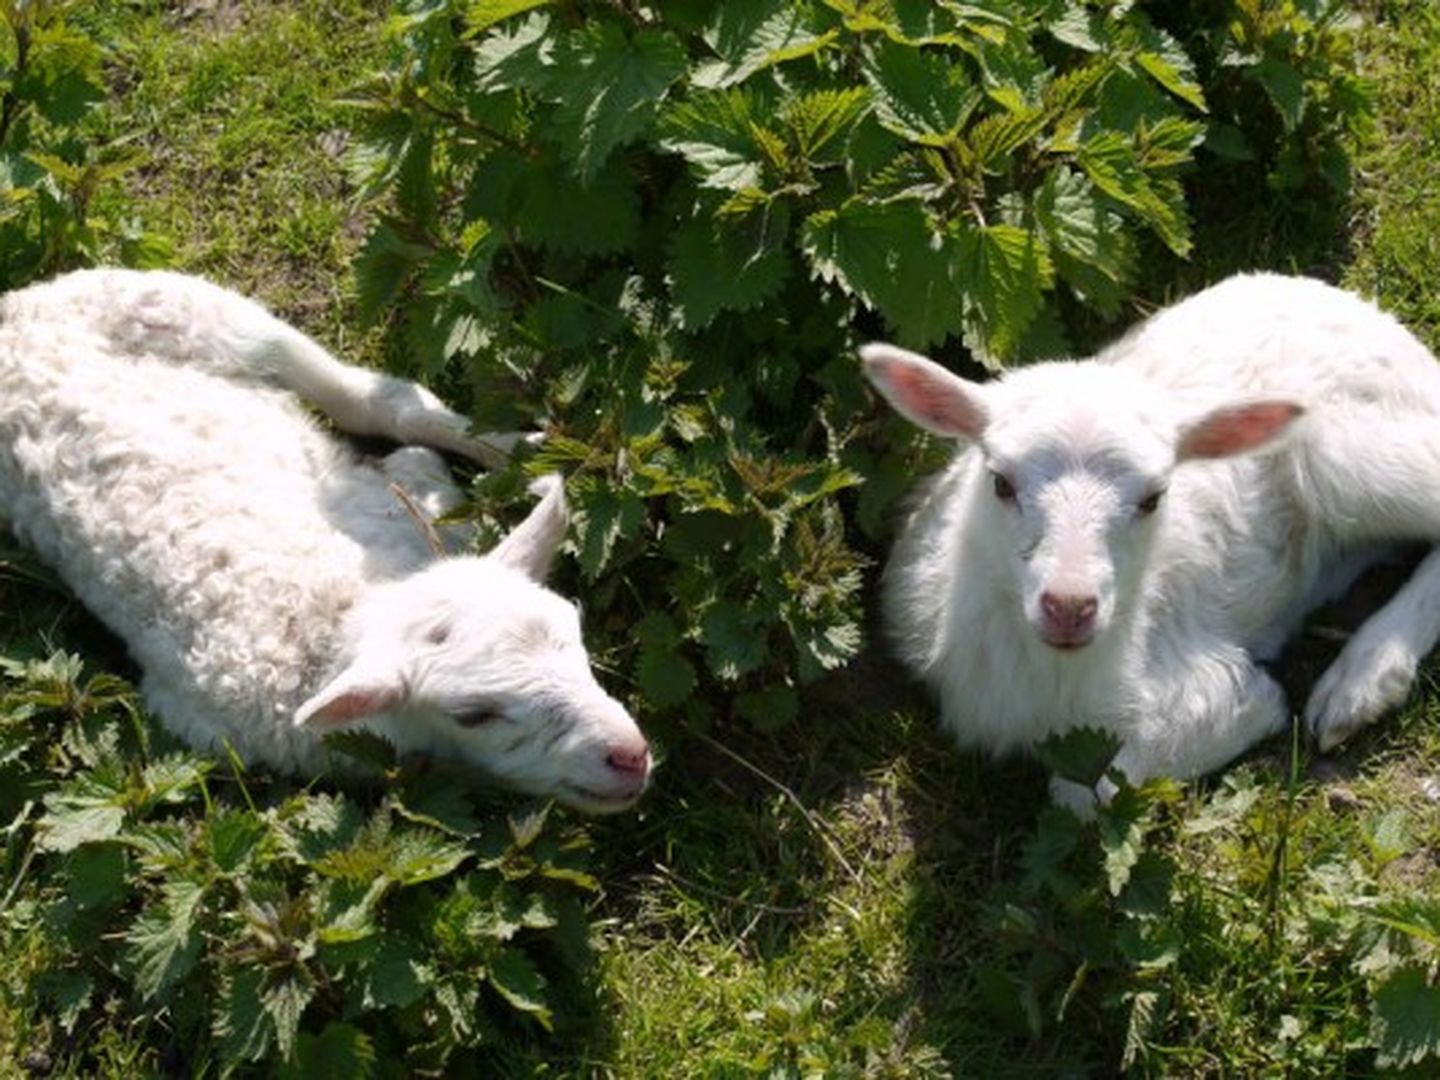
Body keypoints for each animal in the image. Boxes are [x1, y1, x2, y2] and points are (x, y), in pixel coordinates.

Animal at [0, 269, 653, 812]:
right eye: (474, 716)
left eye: (575, 633)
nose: (628, 755)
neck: (330, 622)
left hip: (187, 308)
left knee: (372, 400)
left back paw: (530, 450)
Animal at [864, 272, 1440, 812]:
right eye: (1001, 482)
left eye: (1154, 498)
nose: (1069, 606)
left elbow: (1086, 792)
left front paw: (1255, 706)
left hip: (1352, 453)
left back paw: (1360, 682)